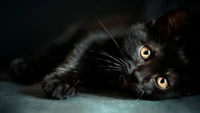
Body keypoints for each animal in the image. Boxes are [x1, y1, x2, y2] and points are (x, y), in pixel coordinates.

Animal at [9, 7, 200, 100]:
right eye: (146, 52)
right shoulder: (95, 37)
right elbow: (76, 58)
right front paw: (60, 83)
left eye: (162, 81)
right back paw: (23, 68)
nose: (136, 76)